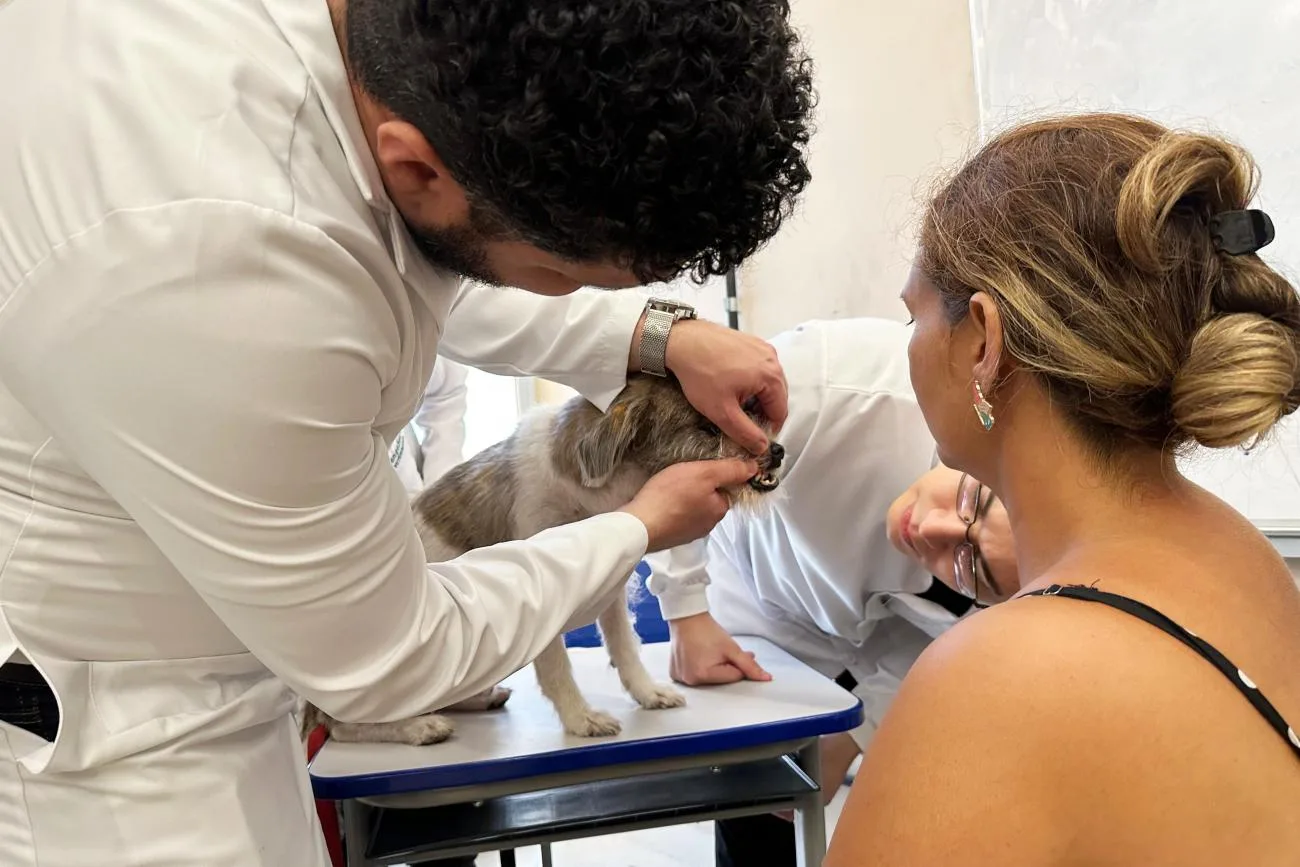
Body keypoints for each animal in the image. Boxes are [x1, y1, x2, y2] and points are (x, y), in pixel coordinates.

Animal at [299, 376, 780, 748]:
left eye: (744, 408)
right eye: (707, 427)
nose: (776, 451)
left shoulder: (611, 587)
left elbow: (624, 647)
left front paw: (646, 693)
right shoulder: (549, 593)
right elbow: (557, 668)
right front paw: (581, 719)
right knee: (341, 727)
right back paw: (418, 727)